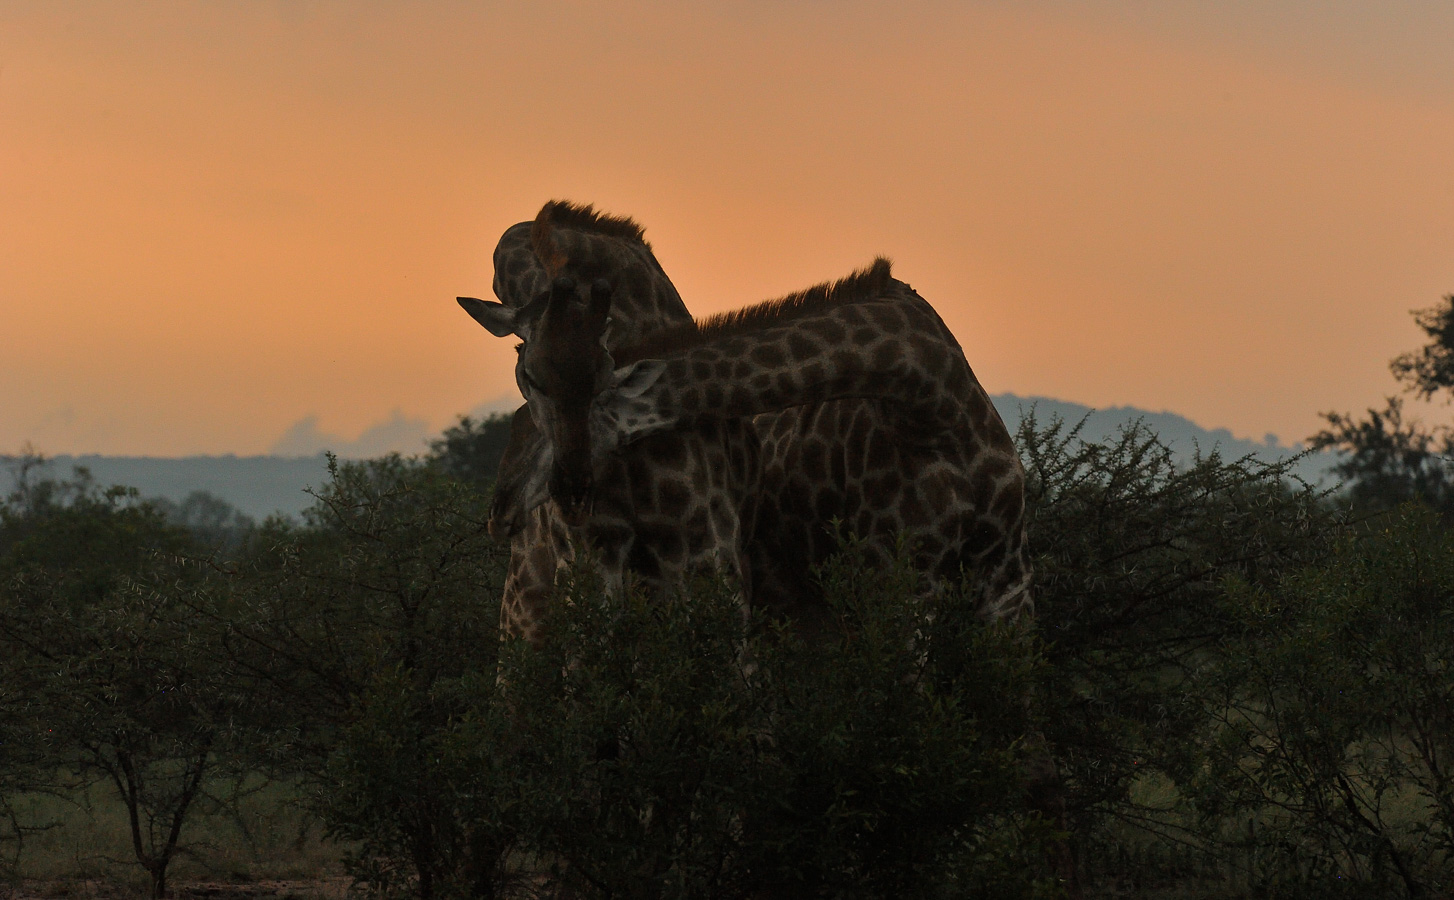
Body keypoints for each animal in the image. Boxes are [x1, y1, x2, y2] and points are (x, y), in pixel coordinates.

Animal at [459, 202, 761, 645]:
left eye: (606, 370)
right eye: (527, 373)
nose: (572, 493)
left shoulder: (707, 546)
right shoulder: (592, 554)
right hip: (524, 603)